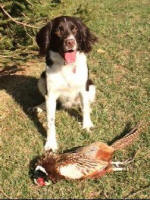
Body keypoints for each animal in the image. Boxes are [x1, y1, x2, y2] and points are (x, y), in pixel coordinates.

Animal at [35, 16, 98, 152]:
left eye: (74, 29)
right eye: (58, 31)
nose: (70, 42)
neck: (66, 65)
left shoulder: (83, 88)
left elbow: (85, 107)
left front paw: (87, 125)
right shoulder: (51, 94)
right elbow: (50, 120)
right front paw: (51, 143)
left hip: (91, 86)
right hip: (41, 79)